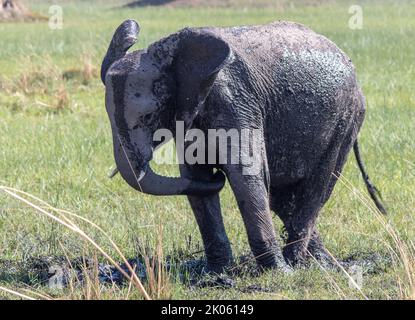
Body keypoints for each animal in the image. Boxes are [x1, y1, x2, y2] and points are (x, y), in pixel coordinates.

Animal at [101, 18, 386, 272]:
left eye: (149, 117)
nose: (219, 175)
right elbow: (195, 175)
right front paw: (217, 272)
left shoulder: (235, 100)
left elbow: (246, 173)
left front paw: (279, 273)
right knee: (281, 198)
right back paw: (321, 262)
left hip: (347, 117)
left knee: (316, 187)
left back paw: (296, 263)